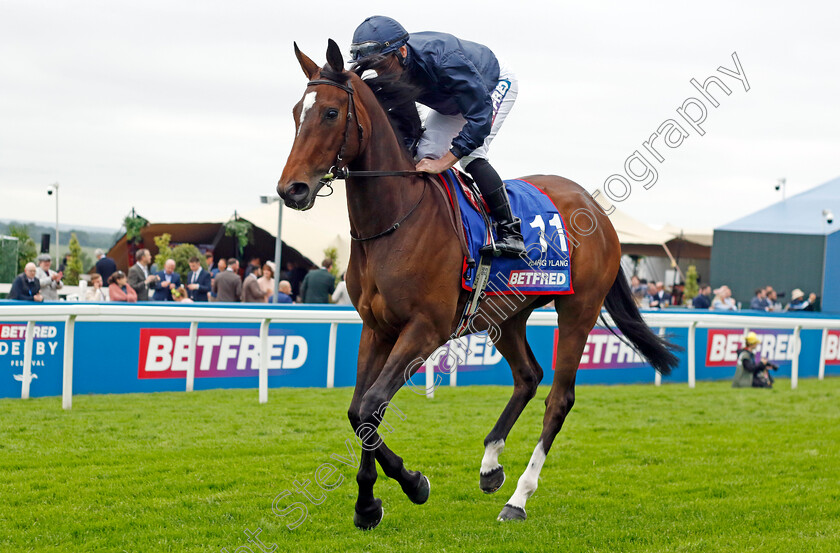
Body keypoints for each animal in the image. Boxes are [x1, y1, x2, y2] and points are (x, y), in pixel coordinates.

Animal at [278, 38, 680, 528]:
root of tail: (597, 209)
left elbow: (371, 405)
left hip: (578, 310)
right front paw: (368, 503)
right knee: (529, 376)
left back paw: (519, 497)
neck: (395, 218)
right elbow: (361, 411)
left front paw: (413, 483)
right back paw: (491, 465)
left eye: (332, 113)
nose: (291, 190)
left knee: (558, 398)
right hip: (505, 315)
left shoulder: (425, 329)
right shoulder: (376, 328)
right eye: (297, 112)